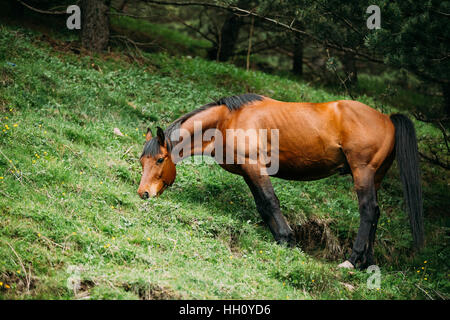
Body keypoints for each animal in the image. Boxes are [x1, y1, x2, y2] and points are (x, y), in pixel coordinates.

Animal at [136, 94, 422, 268]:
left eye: (160, 159)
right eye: (142, 161)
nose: (143, 193)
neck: (228, 120)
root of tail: (388, 119)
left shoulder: (255, 166)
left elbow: (270, 202)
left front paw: (288, 240)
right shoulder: (249, 171)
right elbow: (263, 206)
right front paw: (281, 240)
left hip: (362, 172)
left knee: (368, 211)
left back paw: (352, 260)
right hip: (375, 177)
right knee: (376, 214)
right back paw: (368, 263)